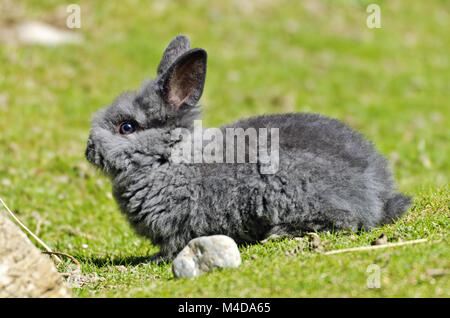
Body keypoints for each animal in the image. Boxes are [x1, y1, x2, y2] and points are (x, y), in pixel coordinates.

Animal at [84, 34, 412, 262]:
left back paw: (279, 234)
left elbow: (173, 246)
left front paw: (153, 259)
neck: (169, 160)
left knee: (345, 221)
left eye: (127, 127)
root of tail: (378, 195)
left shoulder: (178, 226)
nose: (88, 150)